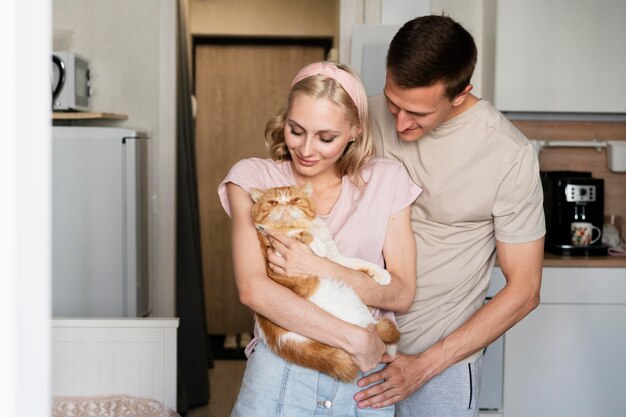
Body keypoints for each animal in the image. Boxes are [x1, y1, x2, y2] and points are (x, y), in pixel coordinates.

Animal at [250, 182, 400, 380]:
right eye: (273, 202)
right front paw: (317, 244)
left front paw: (381, 273)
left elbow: (358, 263)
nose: (284, 204)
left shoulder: (336, 259)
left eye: (295, 200)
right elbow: (296, 231)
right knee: (377, 328)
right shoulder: (275, 247)